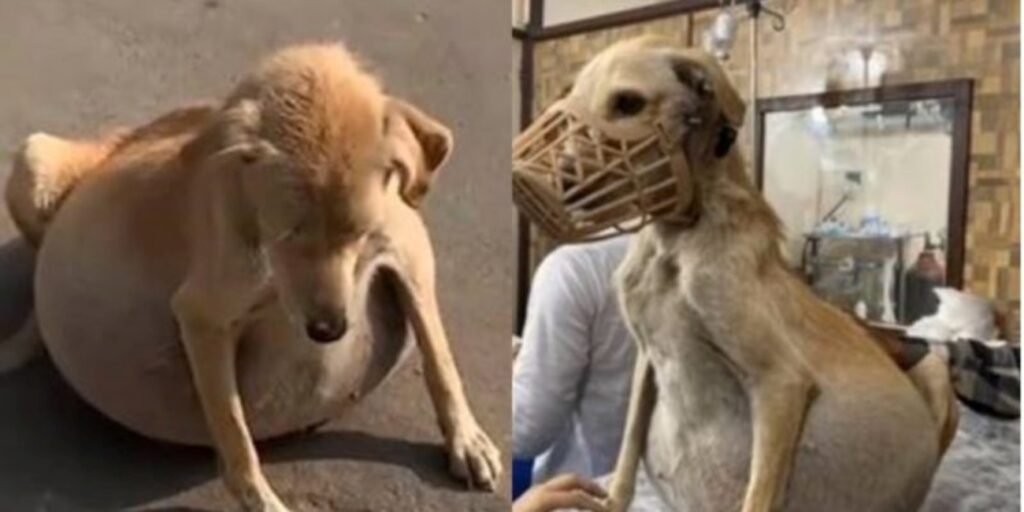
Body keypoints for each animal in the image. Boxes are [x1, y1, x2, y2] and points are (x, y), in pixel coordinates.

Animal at [4, 44, 499, 512]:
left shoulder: (409, 247)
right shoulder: (202, 316)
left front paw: (466, 439)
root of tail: (136, 130)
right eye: (288, 232)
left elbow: (439, 355)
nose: (329, 330)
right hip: (34, 161)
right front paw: (259, 496)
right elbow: (235, 433)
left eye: (358, 233)